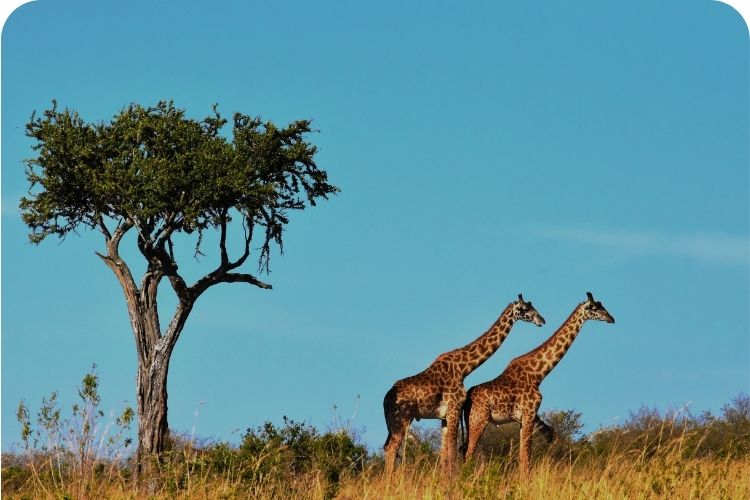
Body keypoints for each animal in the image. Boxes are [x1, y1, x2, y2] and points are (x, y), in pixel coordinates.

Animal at [383, 294, 545, 476]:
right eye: (525, 308)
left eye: (532, 306)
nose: (542, 320)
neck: (464, 368)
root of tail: (385, 400)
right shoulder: (454, 408)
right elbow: (452, 450)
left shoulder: (445, 416)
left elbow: (445, 453)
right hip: (402, 419)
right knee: (392, 448)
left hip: (393, 423)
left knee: (387, 447)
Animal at [462, 292, 615, 477]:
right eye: (594, 308)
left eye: (602, 305)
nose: (611, 318)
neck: (538, 374)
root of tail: (467, 399)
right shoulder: (529, 413)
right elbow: (526, 457)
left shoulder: (525, 418)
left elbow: (524, 455)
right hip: (478, 419)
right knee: (468, 452)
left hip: (470, 421)